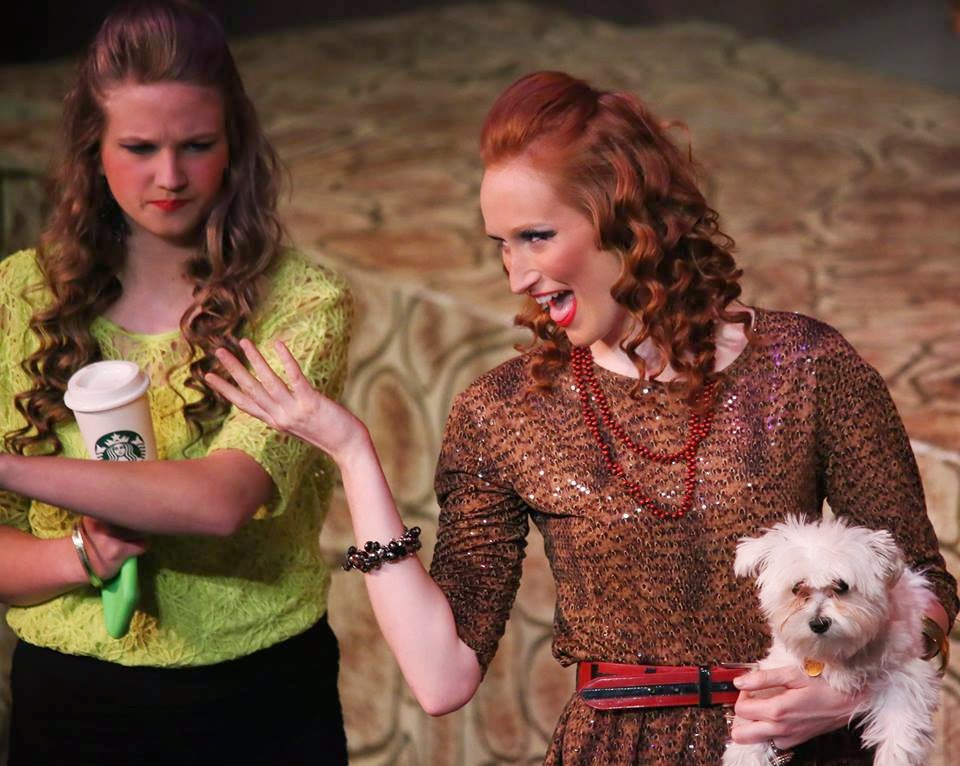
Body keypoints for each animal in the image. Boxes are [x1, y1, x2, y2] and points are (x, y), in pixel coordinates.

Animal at [722, 515, 941, 766]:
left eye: (842, 586)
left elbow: (899, 732)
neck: (830, 655)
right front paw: (744, 752)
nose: (818, 623)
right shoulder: (779, 668)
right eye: (797, 588)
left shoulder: (904, 675)